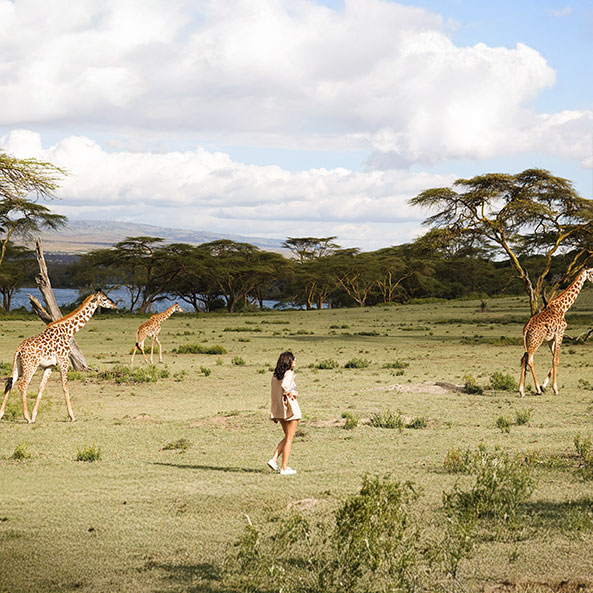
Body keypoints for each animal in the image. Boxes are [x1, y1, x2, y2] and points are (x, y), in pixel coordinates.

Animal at [0, 290, 117, 420]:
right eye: (104, 299)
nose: (114, 305)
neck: (68, 331)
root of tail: (19, 350)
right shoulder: (63, 360)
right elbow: (65, 386)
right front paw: (72, 416)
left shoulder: (50, 365)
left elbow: (41, 387)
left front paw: (34, 415)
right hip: (30, 366)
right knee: (22, 385)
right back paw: (26, 417)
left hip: (18, 366)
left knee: (9, 383)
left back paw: (2, 414)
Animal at [520, 266, 592, 396]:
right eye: (592, 272)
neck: (563, 307)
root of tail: (526, 328)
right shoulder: (560, 332)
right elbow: (555, 360)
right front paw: (554, 389)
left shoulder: (551, 339)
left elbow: (556, 359)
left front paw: (544, 385)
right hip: (536, 341)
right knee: (529, 359)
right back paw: (534, 390)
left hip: (529, 341)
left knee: (524, 358)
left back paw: (524, 391)